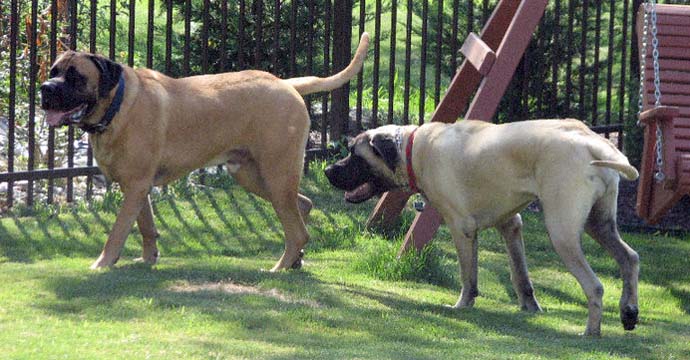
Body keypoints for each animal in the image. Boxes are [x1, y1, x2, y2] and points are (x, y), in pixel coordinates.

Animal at [37, 33, 368, 270]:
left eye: (75, 76)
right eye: (53, 71)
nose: (45, 88)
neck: (116, 106)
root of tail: (287, 85)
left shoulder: (135, 186)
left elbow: (117, 231)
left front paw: (103, 263)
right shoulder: (136, 186)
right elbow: (146, 227)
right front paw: (148, 258)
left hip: (276, 174)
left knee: (297, 229)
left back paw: (280, 267)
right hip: (252, 176)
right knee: (302, 208)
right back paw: (296, 259)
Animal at [326, 119, 644, 336]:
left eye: (355, 154)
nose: (328, 170)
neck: (413, 149)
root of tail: (596, 144)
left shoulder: (461, 228)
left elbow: (469, 276)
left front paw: (463, 305)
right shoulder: (511, 225)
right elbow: (521, 277)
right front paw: (530, 308)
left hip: (562, 233)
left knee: (595, 285)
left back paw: (591, 331)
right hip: (599, 224)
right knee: (629, 258)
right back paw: (628, 312)